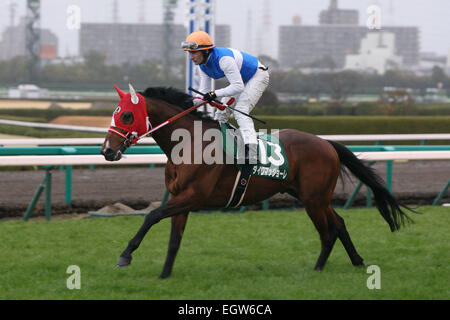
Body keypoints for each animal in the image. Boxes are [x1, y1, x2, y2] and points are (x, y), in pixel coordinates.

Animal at [100, 84, 414, 278]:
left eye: (126, 115)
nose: (106, 151)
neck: (189, 143)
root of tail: (326, 143)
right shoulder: (180, 199)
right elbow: (174, 240)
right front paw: (165, 275)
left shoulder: (193, 197)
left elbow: (151, 216)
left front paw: (125, 255)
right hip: (311, 196)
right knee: (339, 223)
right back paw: (357, 261)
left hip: (313, 199)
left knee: (327, 232)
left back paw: (317, 270)